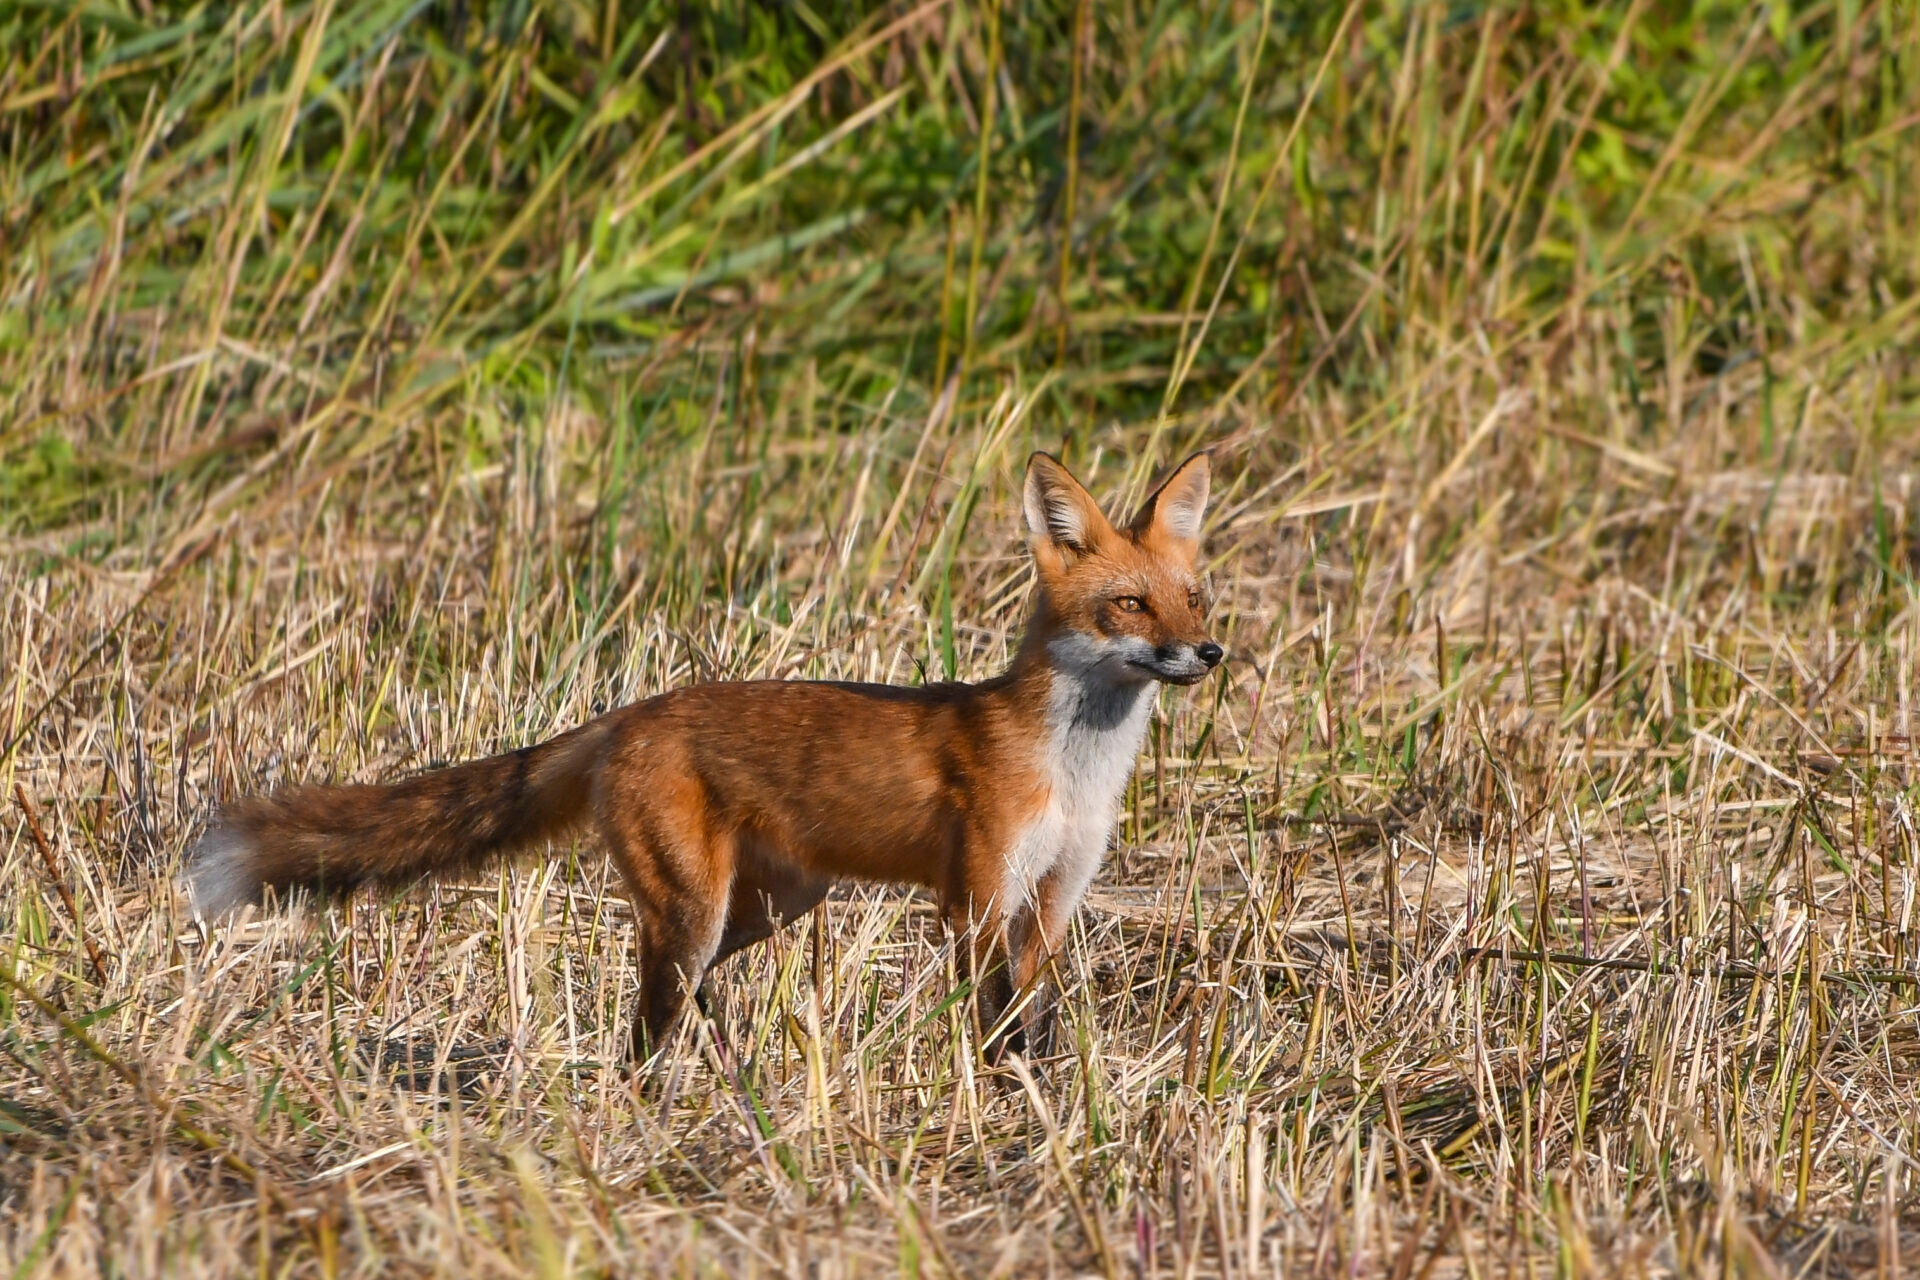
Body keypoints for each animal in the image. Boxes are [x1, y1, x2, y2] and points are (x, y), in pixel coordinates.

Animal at [186, 449, 1222, 1060]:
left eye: (1195, 598)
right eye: (1130, 605)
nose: (1209, 652)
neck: (1075, 773)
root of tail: (629, 713)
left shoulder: (1053, 899)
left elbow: (1032, 1020)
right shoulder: (975, 899)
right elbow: (993, 1021)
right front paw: (1002, 1103)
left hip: (764, 906)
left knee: (696, 998)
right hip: (694, 908)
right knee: (646, 1023)